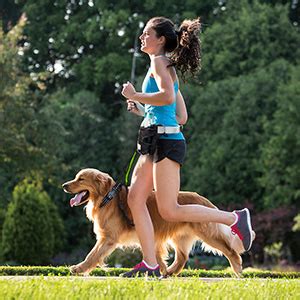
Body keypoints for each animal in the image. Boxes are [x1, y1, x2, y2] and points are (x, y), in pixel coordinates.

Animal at [62, 168, 253, 276]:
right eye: (76, 177)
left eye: (80, 179)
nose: (64, 185)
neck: (108, 198)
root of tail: (203, 200)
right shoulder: (149, 235)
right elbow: (157, 256)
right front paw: (159, 270)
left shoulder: (108, 238)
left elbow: (92, 255)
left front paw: (79, 268)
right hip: (180, 237)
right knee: (182, 258)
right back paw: (170, 272)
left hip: (207, 233)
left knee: (230, 250)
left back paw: (237, 268)